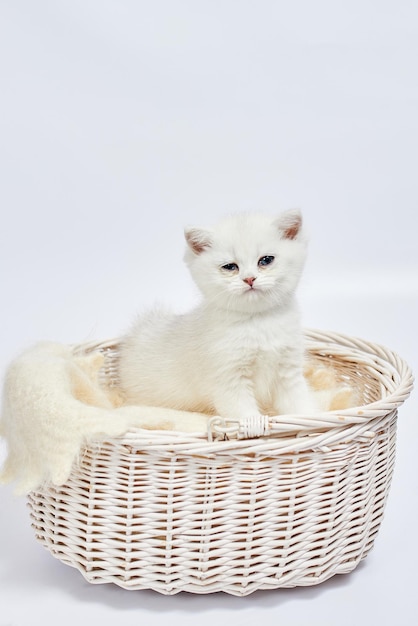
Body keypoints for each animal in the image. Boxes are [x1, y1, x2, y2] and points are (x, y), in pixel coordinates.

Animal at [116, 210, 316, 420]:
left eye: (266, 260)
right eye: (230, 267)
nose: (249, 279)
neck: (258, 321)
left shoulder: (289, 373)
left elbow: (301, 406)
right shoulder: (229, 381)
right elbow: (245, 414)